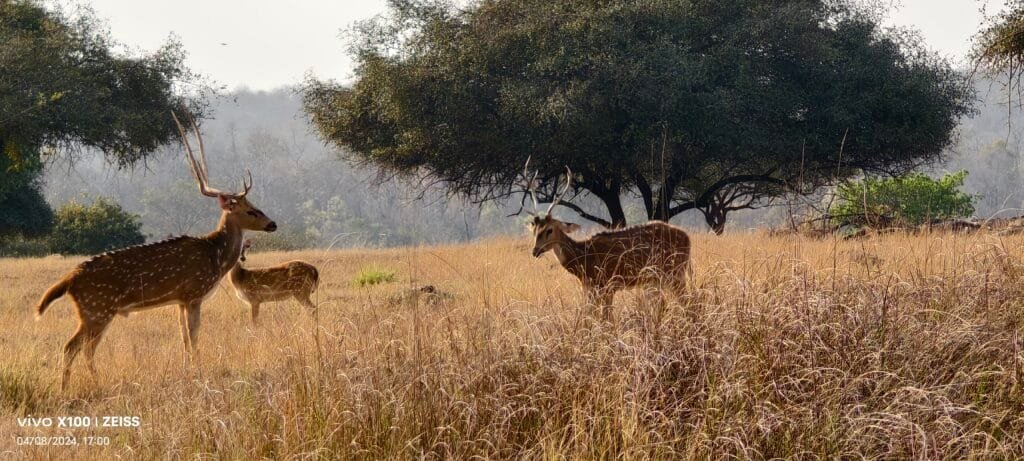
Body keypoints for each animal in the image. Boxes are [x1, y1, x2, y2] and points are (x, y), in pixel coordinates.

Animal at [33, 112, 277, 390]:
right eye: (250, 210)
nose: (273, 224)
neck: (214, 256)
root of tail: (69, 279)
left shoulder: (180, 300)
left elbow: (184, 338)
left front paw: (187, 370)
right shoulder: (194, 293)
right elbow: (194, 336)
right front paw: (198, 372)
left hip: (93, 312)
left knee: (80, 347)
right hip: (97, 309)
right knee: (75, 346)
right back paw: (81, 385)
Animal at [524, 164, 692, 319]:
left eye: (550, 229)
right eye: (534, 228)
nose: (535, 251)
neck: (584, 260)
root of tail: (688, 238)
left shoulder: (606, 284)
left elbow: (605, 318)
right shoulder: (591, 288)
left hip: (675, 272)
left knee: (688, 302)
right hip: (660, 278)